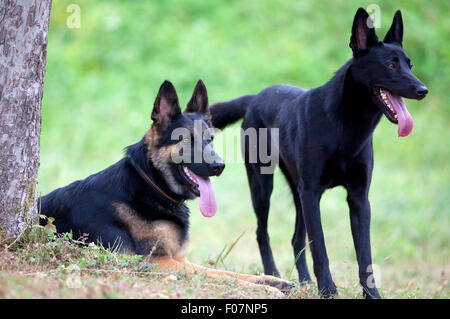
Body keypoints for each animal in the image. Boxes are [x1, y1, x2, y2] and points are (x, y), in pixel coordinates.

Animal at [211, 8, 428, 298]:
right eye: (390, 66)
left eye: (410, 66)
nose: (423, 90)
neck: (346, 126)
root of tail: (255, 98)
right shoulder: (312, 192)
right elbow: (321, 247)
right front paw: (328, 289)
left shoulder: (358, 199)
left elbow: (364, 254)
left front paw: (371, 294)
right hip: (263, 186)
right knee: (262, 233)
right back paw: (274, 275)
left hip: (298, 192)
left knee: (296, 238)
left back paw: (304, 282)